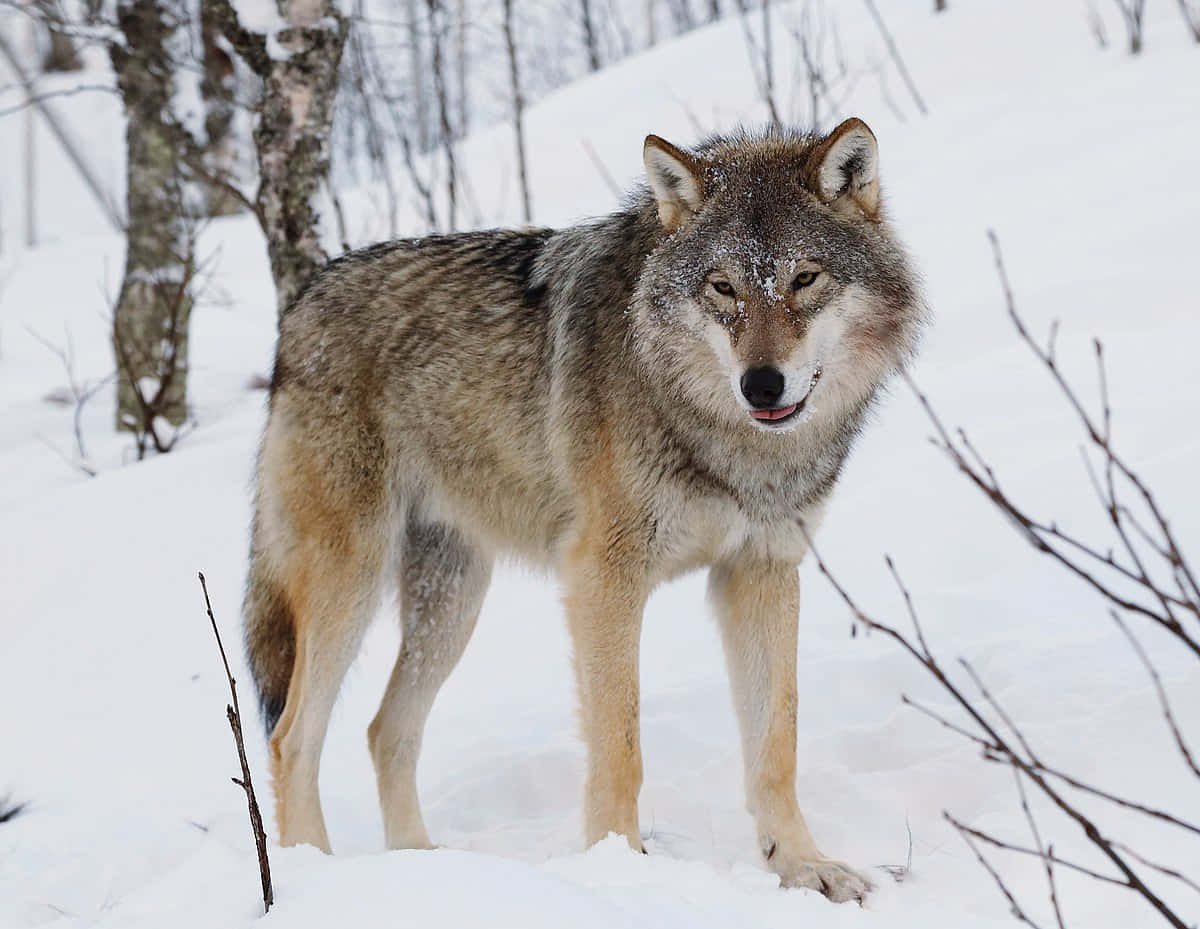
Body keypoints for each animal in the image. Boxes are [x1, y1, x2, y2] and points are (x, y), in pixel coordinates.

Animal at [241, 120, 916, 907]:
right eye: (723, 287)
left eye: (805, 279)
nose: (761, 383)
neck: (723, 438)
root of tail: (301, 303)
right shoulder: (603, 578)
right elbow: (620, 745)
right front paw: (621, 869)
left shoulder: (761, 571)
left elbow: (777, 743)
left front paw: (802, 867)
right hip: (350, 583)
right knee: (292, 737)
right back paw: (314, 877)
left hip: (452, 602)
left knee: (386, 730)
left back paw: (424, 867)